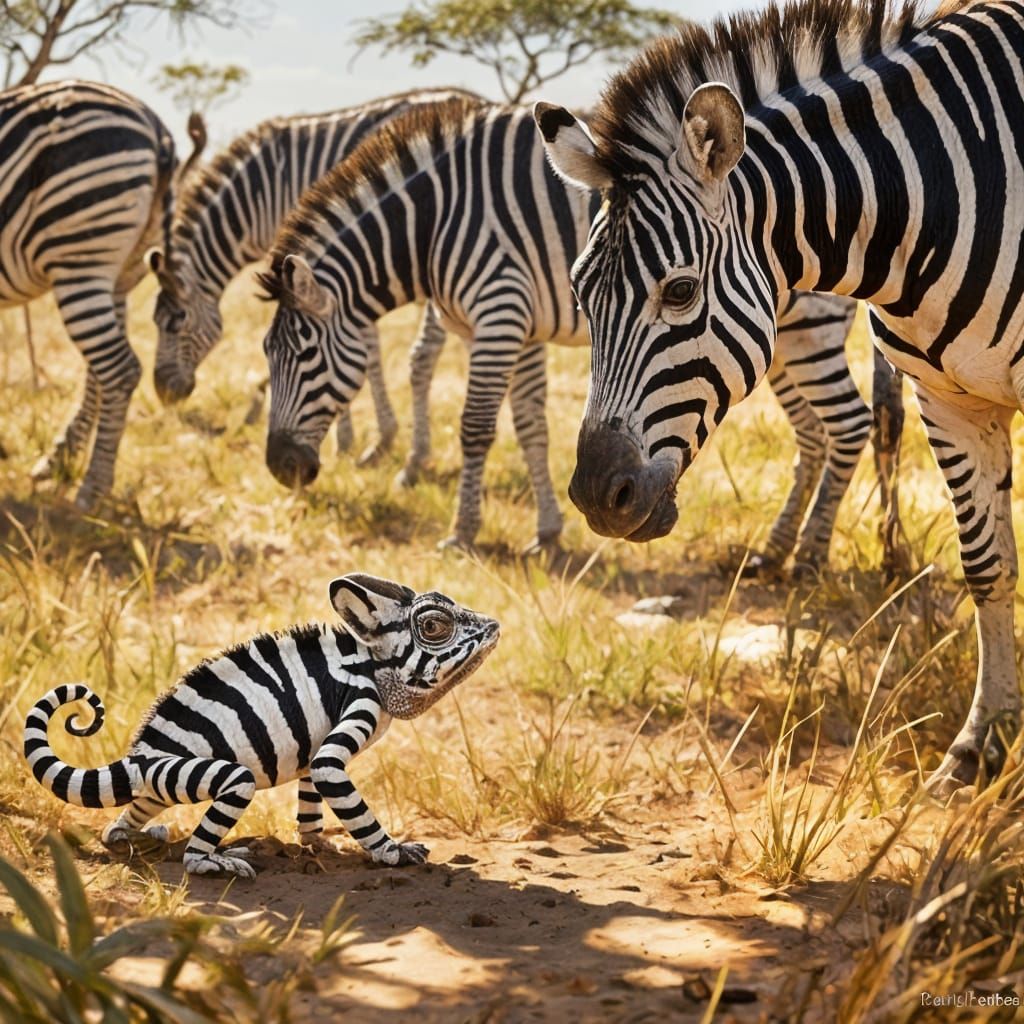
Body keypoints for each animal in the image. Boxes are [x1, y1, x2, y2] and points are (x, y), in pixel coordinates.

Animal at [0, 80, 199, 509]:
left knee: (120, 370)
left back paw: (93, 486)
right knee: (100, 372)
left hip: (80, 258)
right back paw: (62, 461)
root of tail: (157, 129)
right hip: (119, 271)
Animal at [23, 573, 500, 877]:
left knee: (126, 818)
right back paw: (211, 860)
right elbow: (342, 792)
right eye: (434, 627)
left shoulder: (315, 751)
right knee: (208, 827)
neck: (373, 665)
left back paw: (136, 836)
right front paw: (392, 851)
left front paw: (315, 843)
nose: (494, 626)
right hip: (213, 776)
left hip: (154, 783)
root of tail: (137, 757)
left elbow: (311, 798)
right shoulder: (357, 705)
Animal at [148, 89, 473, 462]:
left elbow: (358, 346)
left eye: (178, 322)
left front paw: (357, 439)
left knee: (427, 353)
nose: (165, 393)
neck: (258, 194)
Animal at [256, 94, 897, 571]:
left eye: (305, 355)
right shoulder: (519, 329)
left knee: (848, 424)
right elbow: (531, 427)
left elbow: (476, 428)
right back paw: (776, 549)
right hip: (775, 343)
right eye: (266, 353)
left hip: (807, 327)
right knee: (813, 433)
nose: (280, 469)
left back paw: (808, 559)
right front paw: (547, 532)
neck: (433, 221)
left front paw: (462, 533)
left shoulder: (499, 310)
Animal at [534, 0, 1024, 789]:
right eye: (580, 294)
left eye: (680, 291)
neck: (942, 194)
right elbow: (988, 569)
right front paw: (981, 746)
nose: (596, 498)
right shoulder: (947, 399)